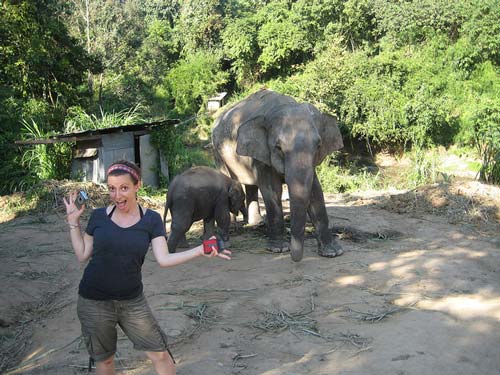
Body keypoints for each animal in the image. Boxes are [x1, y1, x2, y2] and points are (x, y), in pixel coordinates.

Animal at [211, 89, 344, 262]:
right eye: (278, 147)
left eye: (318, 145)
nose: (295, 258)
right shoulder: (263, 154)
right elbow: (272, 190)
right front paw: (278, 249)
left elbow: (315, 191)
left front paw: (333, 252)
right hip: (216, 151)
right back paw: (233, 228)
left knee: (251, 185)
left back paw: (256, 224)